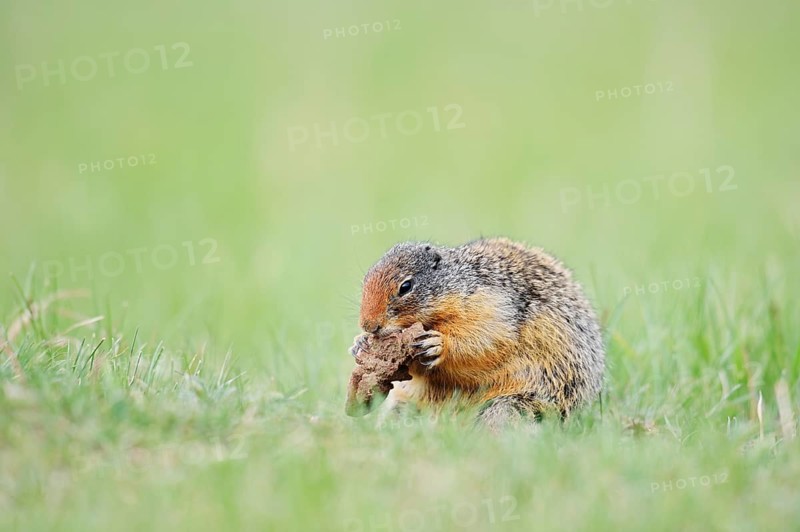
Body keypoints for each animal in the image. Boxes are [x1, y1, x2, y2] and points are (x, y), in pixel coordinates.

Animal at [350, 237, 605, 431]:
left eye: (406, 286)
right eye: (365, 280)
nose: (368, 325)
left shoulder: (491, 307)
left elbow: (484, 341)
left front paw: (438, 345)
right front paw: (358, 344)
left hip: (514, 405)